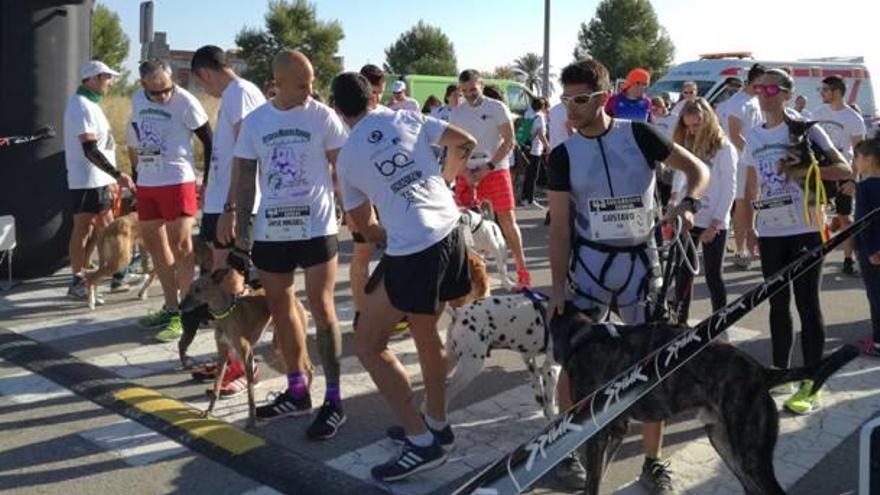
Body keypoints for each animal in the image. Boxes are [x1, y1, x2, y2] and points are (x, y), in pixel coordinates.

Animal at [444, 292, 560, 420]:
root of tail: (458, 312)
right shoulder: (552, 368)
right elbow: (550, 398)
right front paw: (551, 416)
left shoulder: (528, 357)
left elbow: (537, 384)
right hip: (469, 367)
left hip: (452, 360)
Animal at [556, 306, 860, 495]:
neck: (584, 336)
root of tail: (762, 372)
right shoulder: (617, 431)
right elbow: (599, 475)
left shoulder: (596, 435)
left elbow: (593, 480)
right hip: (724, 442)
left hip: (748, 454)